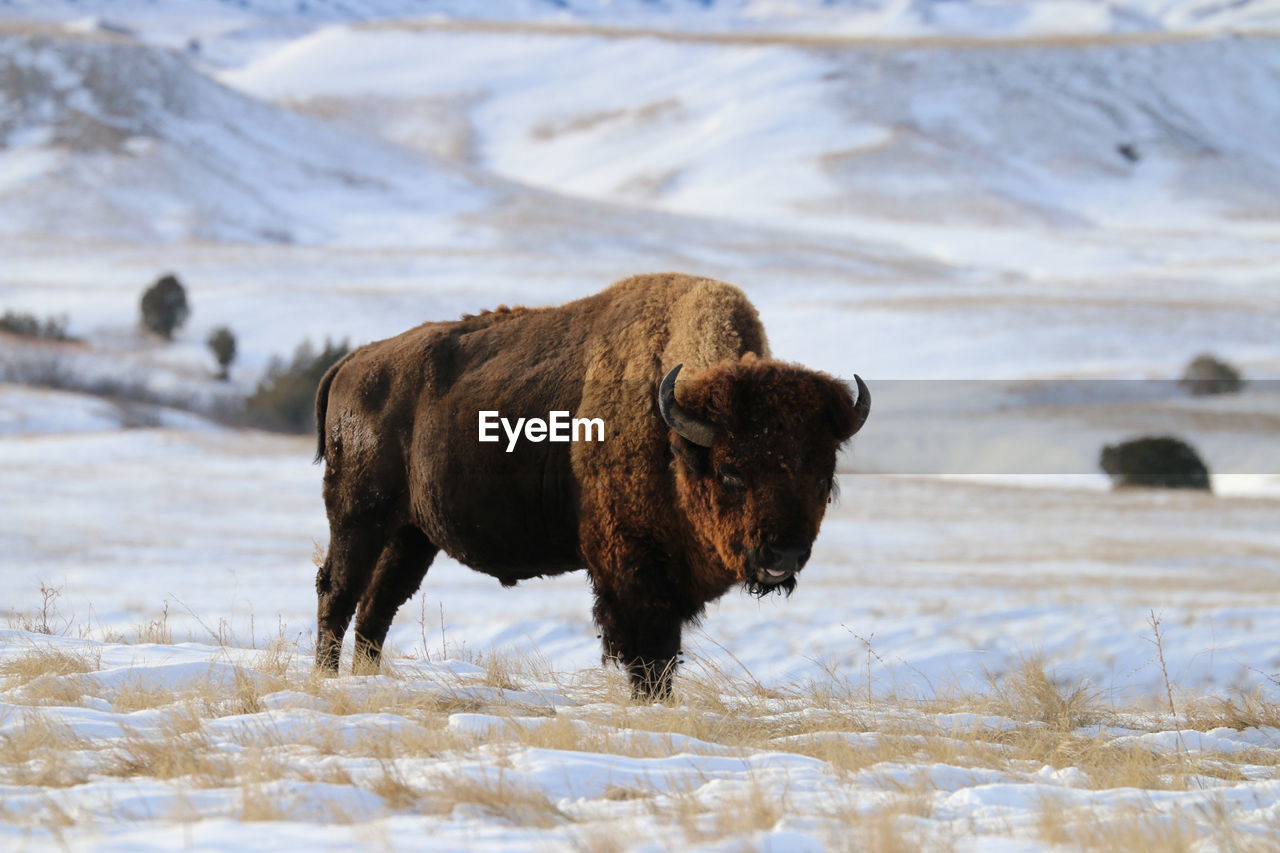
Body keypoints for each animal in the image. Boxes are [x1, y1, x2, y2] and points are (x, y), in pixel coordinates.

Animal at [312, 274, 870, 696]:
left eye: (823, 477)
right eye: (732, 471)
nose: (784, 555)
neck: (677, 438)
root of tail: (353, 361)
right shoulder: (633, 572)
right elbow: (649, 656)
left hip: (411, 534)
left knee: (378, 603)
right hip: (358, 516)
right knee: (339, 589)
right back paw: (325, 676)